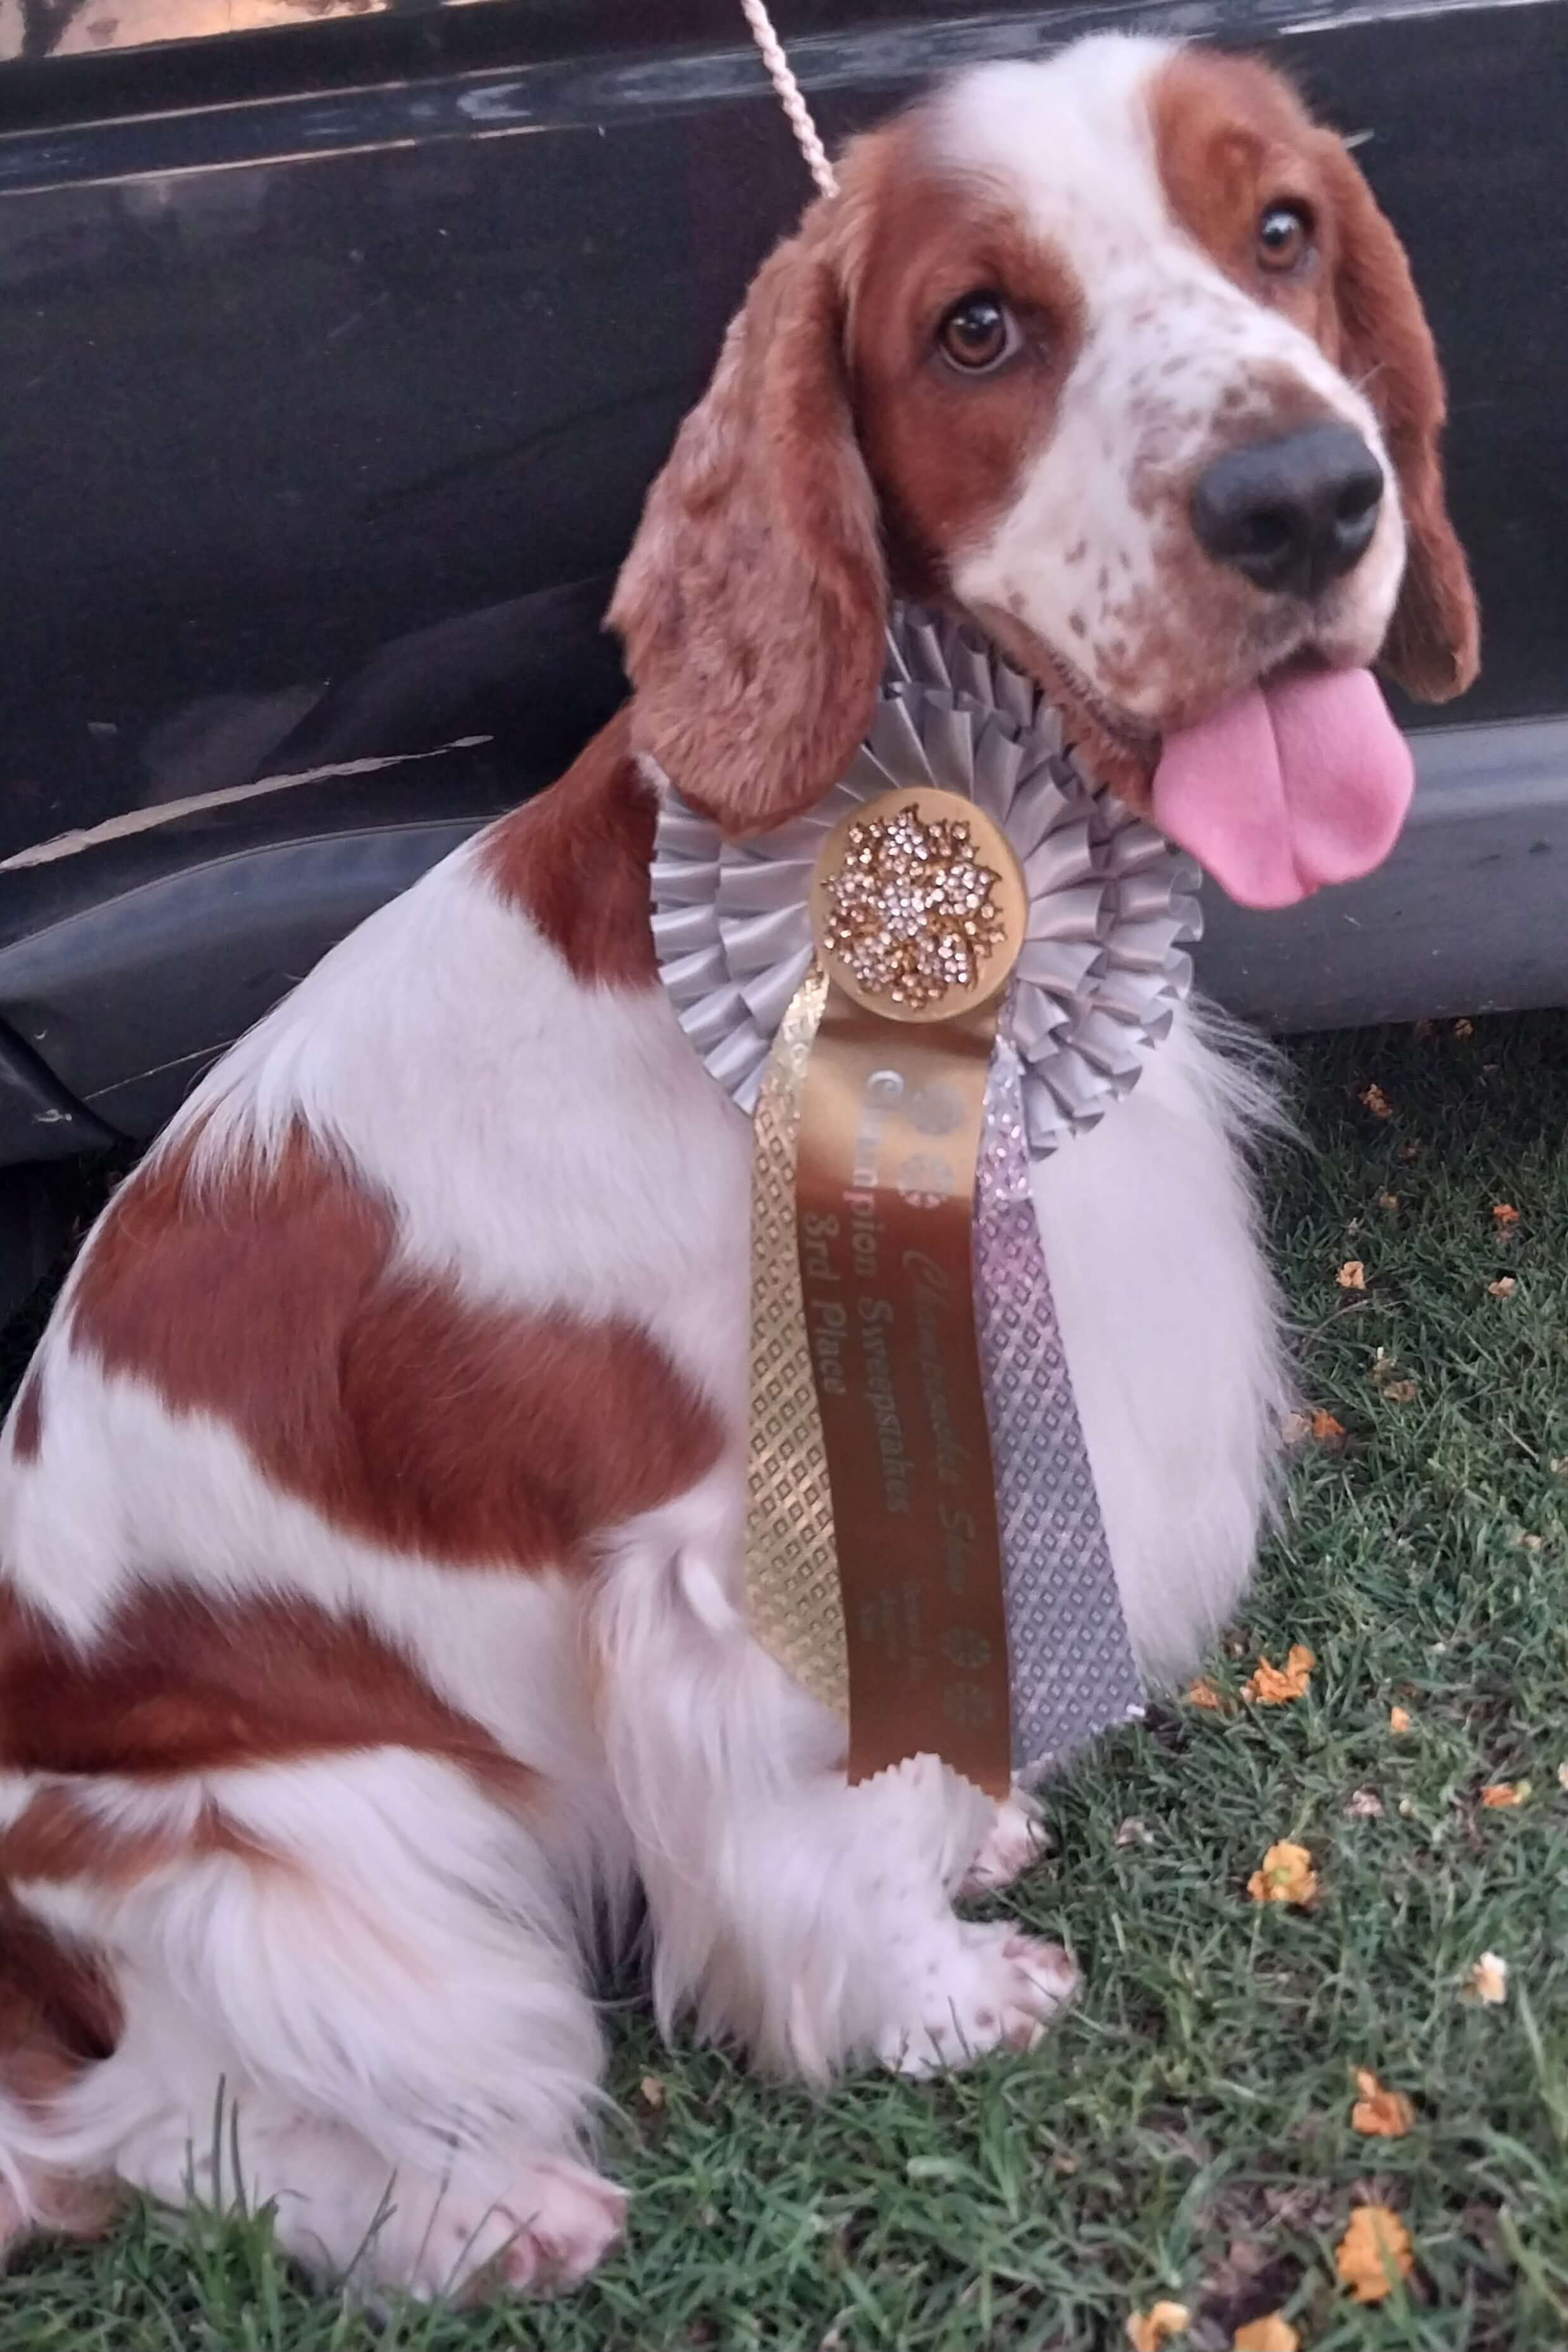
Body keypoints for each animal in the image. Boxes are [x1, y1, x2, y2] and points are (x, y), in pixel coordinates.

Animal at [0, 32, 1476, 2301]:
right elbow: (814, 1833)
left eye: (1285, 228)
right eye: (979, 326)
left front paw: (978, 1816)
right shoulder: (737, 1546)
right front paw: (927, 1995)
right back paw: (484, 2207)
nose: (1305, 496)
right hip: (304, 1846)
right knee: (159, 2123)